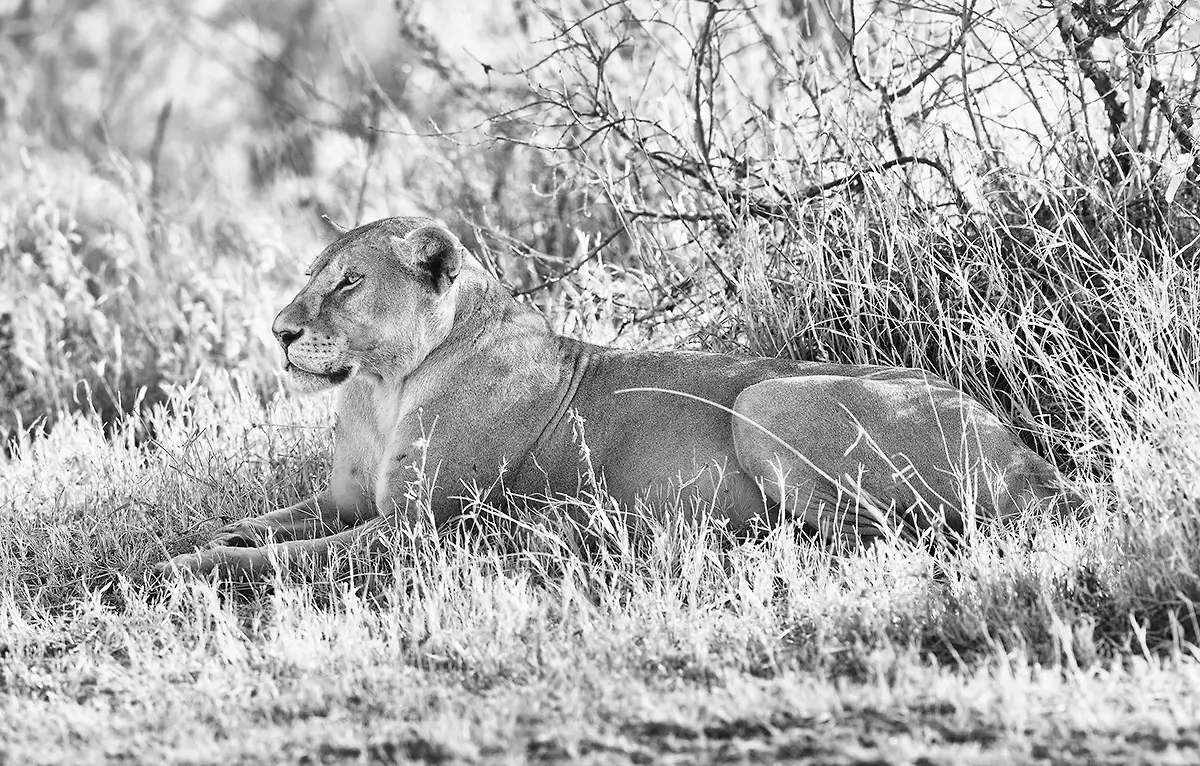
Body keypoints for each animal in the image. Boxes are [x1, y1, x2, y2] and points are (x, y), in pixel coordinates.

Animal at [157, 216, 1079, 580]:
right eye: (315, 274)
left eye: (347, 282)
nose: (278, 331)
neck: (381, 386)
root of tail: (1033, 462)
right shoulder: (348, 502)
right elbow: (267, 523)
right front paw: (205, 535)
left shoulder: (418, 529)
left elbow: (284, 559)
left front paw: (186, 569)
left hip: (767, 401)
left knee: (880, 537)